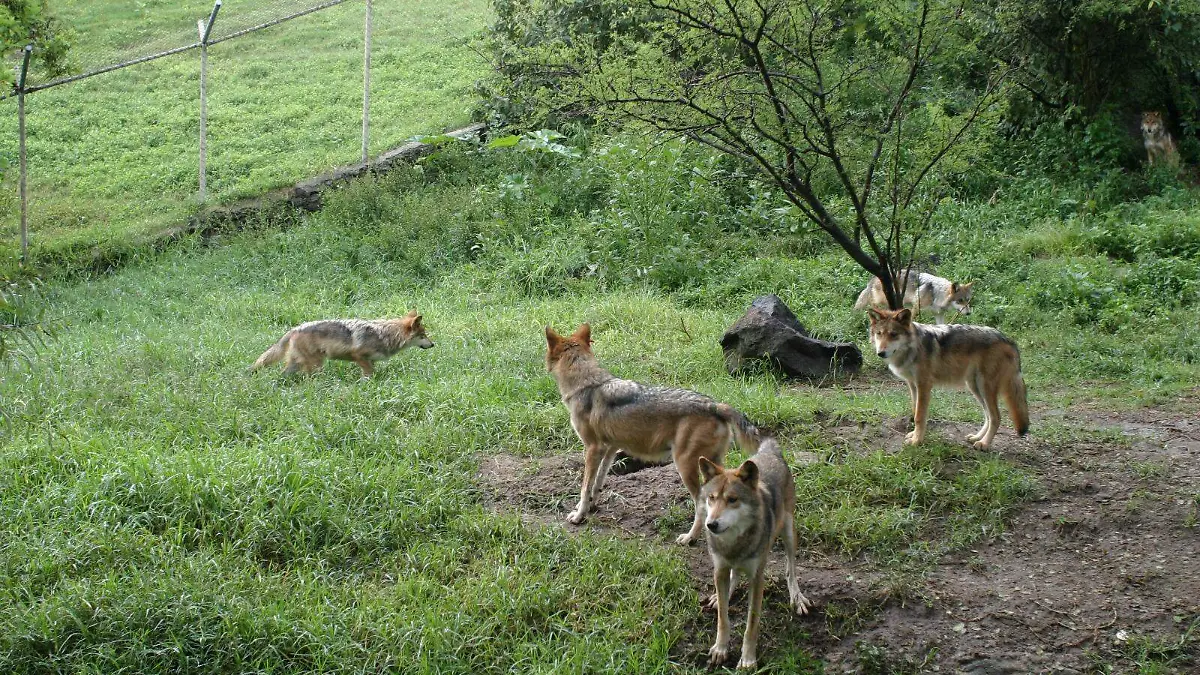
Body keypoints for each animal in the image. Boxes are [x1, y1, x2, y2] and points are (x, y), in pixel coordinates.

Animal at [250, 312, 434, 379]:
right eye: (423, 336)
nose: (433, 344)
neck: (383, 335)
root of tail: (295, 329)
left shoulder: (370, 360)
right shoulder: (358, 356)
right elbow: (369, 374)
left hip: (297, 364)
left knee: (282, 375)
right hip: (316, 365)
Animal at [547, 324, 758, 542]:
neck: (586, 384)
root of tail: (715, 405)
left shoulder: (592, 448)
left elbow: (585, 486)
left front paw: (579, 515)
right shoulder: (609, 449)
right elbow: (598, 482)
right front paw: (592, 506)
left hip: (684, 465)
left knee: (701, 504)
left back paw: (689, 538)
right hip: (711, 466)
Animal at [696, 437, 806, 667]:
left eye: (732, 499)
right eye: (711, 498)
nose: (711, 524)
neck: (735, 543)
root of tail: (769, 450)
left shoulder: (757, 579)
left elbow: (751, 624)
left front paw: (747, 660)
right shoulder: (719, 569)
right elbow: (723, 618)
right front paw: (720, 649)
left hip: (789, 532)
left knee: (791, 569)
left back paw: (797, 598)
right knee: (734, 575)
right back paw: (721, 595)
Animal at [868, 309, 1027, 446]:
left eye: (893, 334)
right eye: (879, 334)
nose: (880, 353)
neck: (912, 348)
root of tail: (1009, 340)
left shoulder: (924, 385)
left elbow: (919, 416)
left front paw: (916, 441)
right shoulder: (913, 385)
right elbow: (915, 411)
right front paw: (914, 435)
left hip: (985, 388)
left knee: (996, 417)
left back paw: (984, 444)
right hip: (975, 387)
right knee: (988, 416)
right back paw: (977, 437)